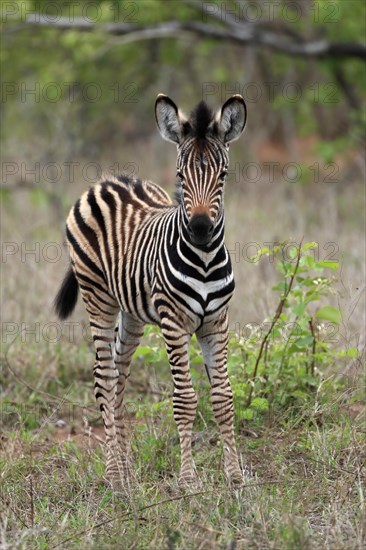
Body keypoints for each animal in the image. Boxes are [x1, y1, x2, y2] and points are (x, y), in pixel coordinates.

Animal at [54, 94, 247, 488]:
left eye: (222, 176)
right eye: (180, 176)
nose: (200, 229)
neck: (204, 259)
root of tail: (107, 182)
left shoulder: (216, 322)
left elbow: (223, 397)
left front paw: (235, 476)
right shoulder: (174, 323)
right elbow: (185, 400)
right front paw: (188, 480)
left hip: (132, 314)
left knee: (119, 377)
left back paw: (127, 471)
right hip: (98, 297)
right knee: (103, 377)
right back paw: (114, 476)